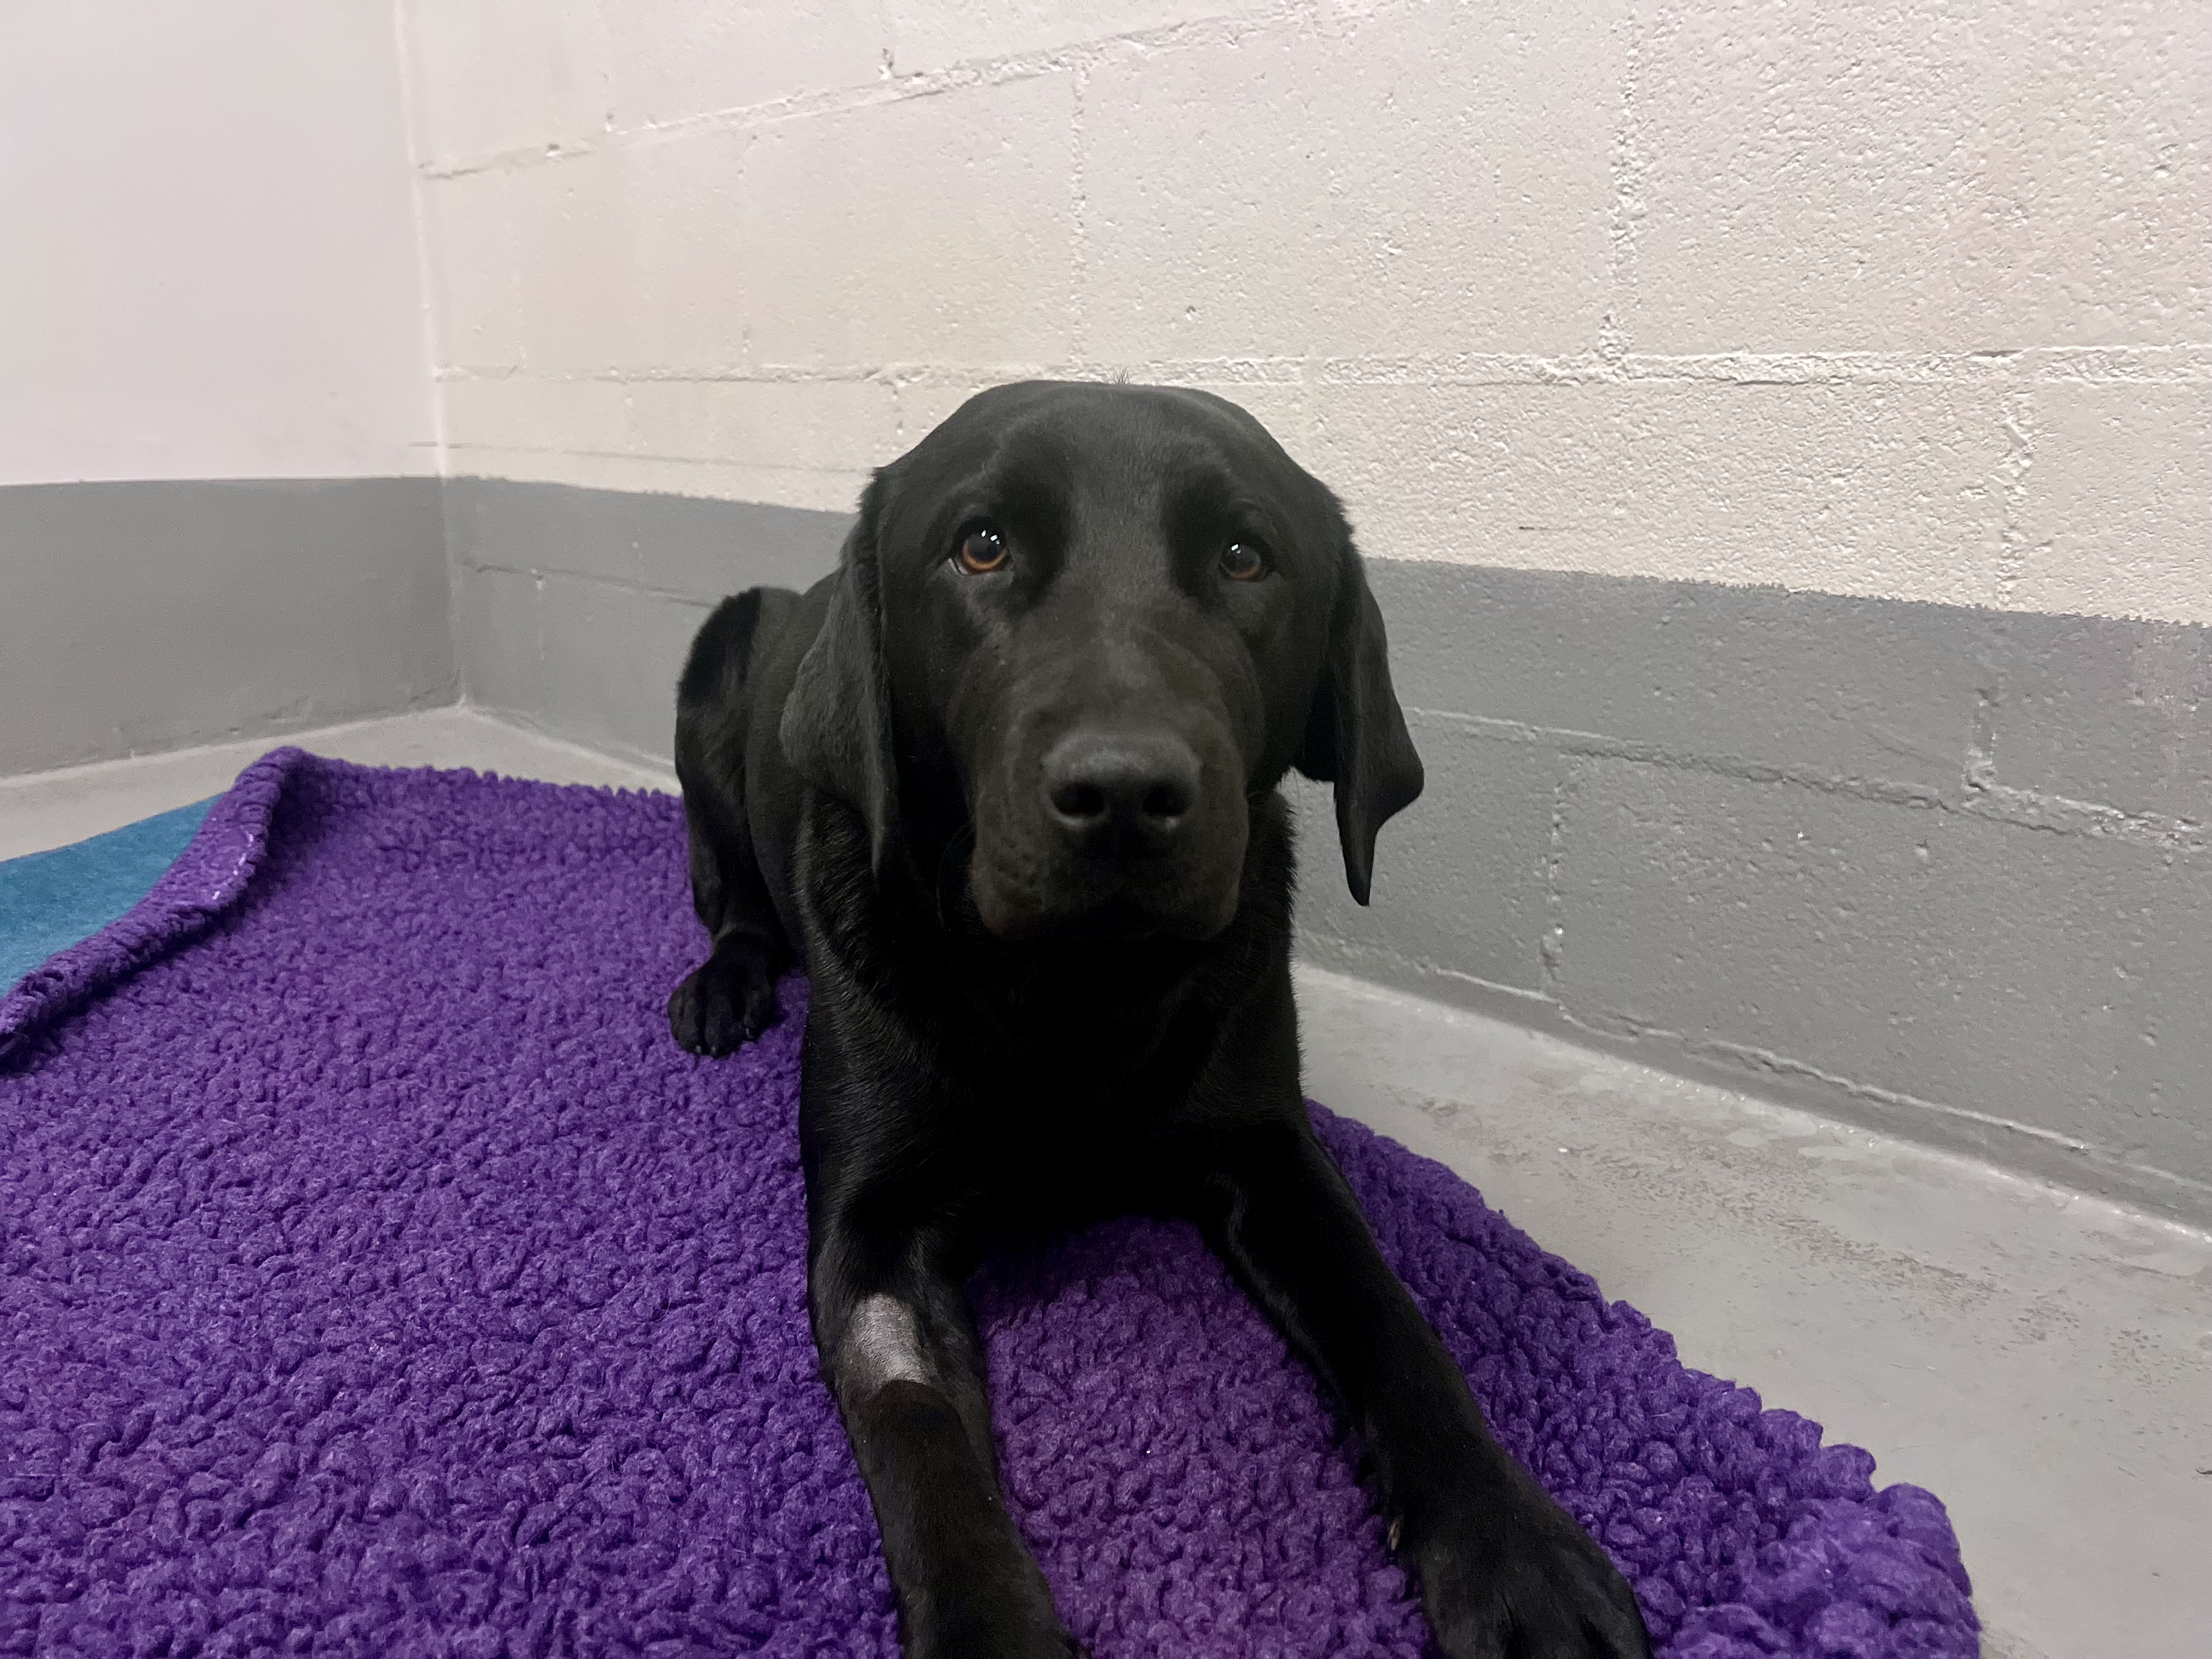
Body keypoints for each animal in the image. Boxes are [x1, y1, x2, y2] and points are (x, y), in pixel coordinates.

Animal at [663, 382, 1654, 1654]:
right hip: (717, 666)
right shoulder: (870, 1233)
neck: (1078, 993)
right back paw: (726, 984)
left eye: (1245, 556)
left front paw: (1512, 1545)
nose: (1125, 793)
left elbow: (1394, 1322)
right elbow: (919, 1435)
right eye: (981, 544)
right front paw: (993, 1633)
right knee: (731, 892)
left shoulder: (1269, 1150)